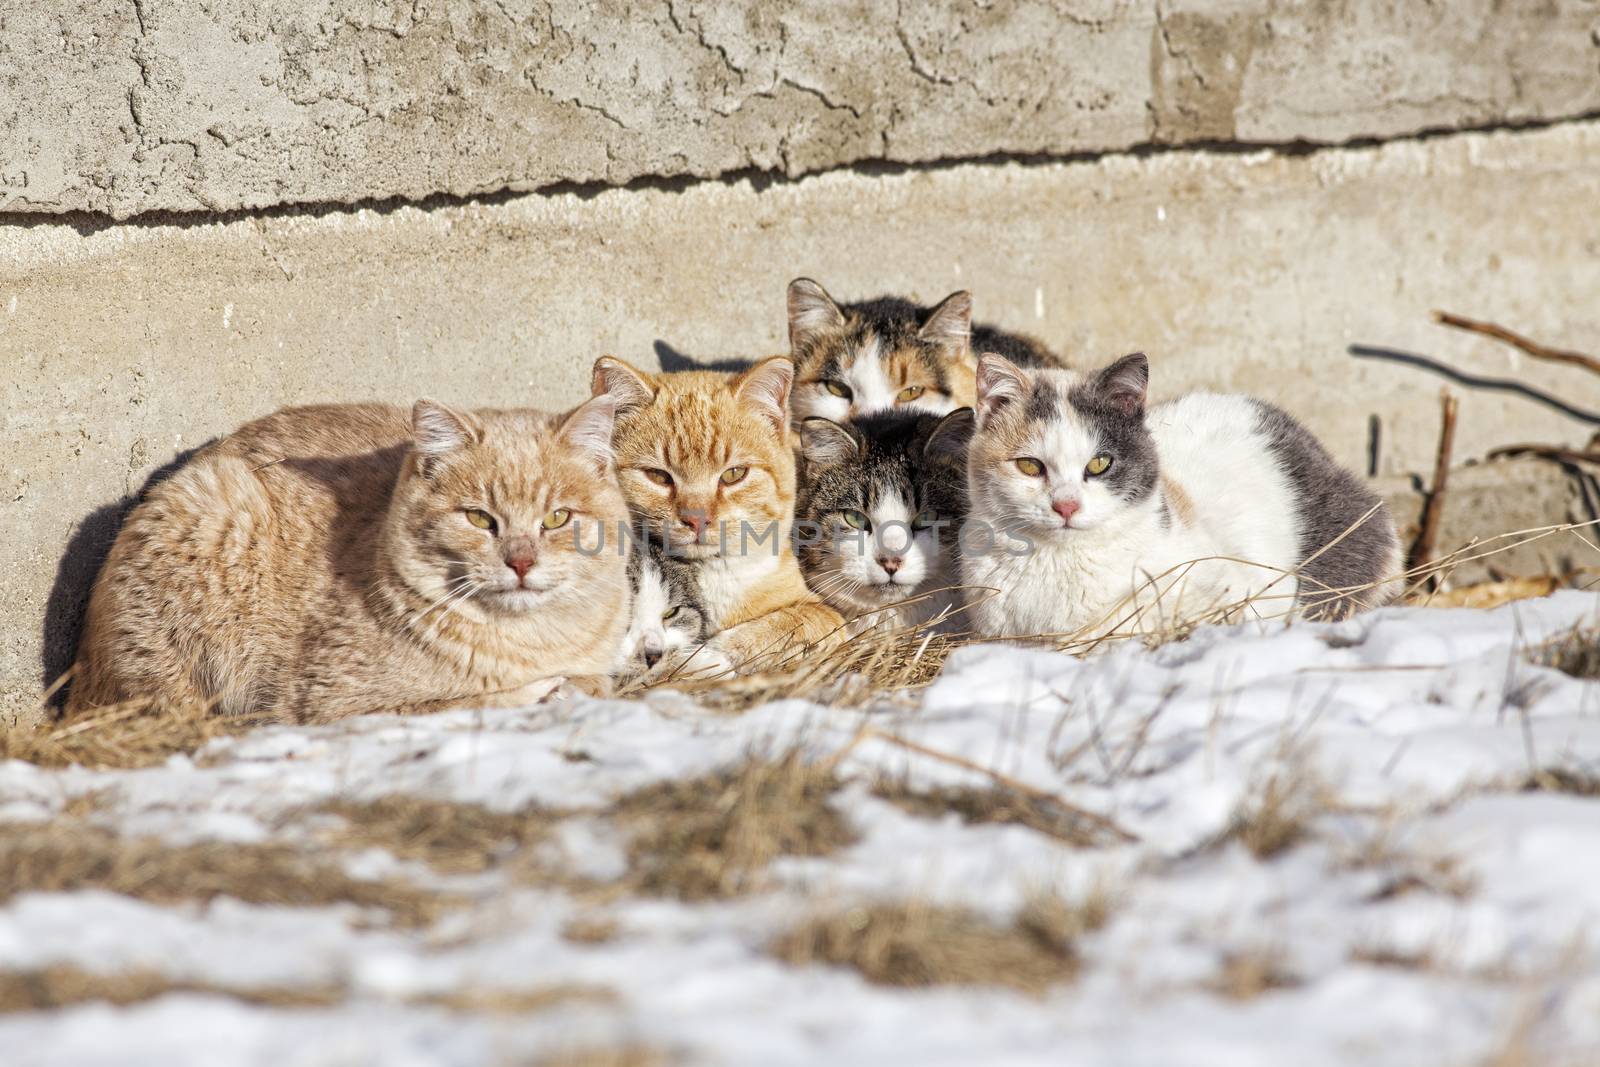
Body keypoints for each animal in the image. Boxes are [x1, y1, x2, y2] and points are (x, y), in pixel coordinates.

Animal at [67, 396, 630, 723]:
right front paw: (541, 691)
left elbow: (593, 681)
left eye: (557, 518)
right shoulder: (330, 706)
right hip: (215, 508)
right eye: (478, 518)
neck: (532, 641)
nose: (521, 563)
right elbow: (463, 702)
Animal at [595, 356, 851, 675]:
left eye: (734, 474)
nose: (697, 519)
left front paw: (705, 654)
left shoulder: (825, 613)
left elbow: (778, 627)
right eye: (657, 476)